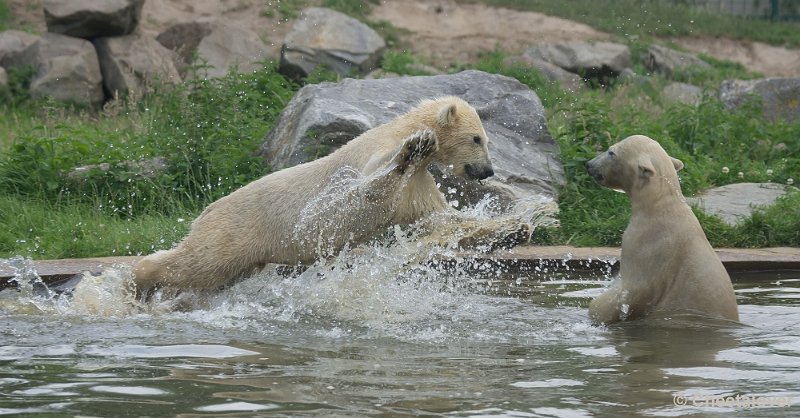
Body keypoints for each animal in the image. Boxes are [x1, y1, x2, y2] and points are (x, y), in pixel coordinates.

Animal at [134, 97, 504, 294]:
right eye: (477, 139)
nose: (487, 171)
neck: (396, 130)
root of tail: (207, 211)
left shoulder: (420, 185)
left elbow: (440, 218)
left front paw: (508, 225)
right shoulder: (370, 159)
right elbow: (363, 193)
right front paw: (412, 149)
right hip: (234, 230)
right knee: (197, 262)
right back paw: (138, 281)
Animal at [588, 136, 736, 324]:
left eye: (611, 152)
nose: (589, 165)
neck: (661, 205)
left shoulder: (646, 247)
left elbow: (631, 291)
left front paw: (596, 311)